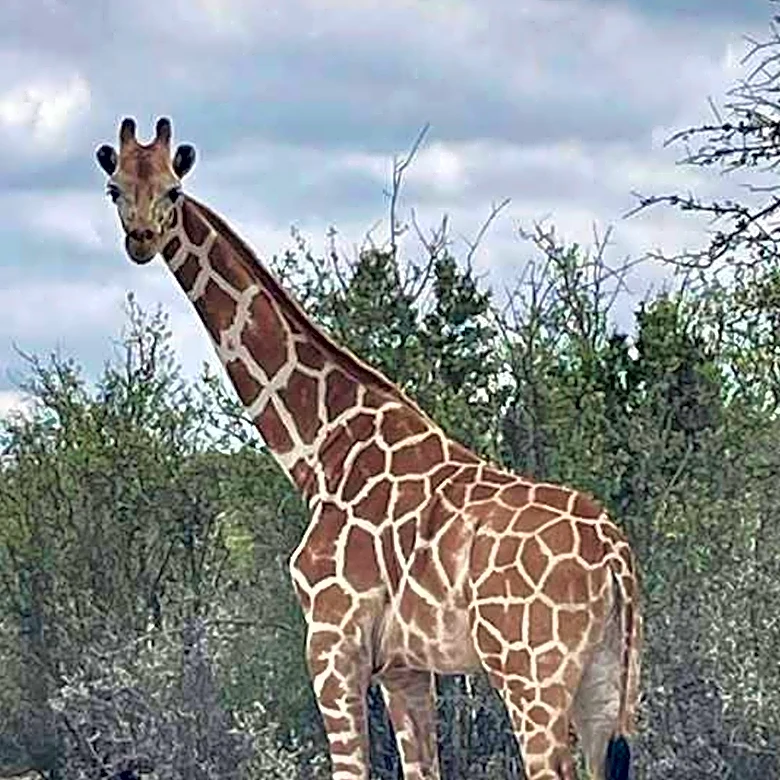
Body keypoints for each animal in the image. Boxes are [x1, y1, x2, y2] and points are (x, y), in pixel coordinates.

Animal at [95, 117, 641, 780]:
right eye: (115, 189)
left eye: (173, 190)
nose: (141, 239)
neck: (319, 448)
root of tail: (616, 557)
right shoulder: (405, 665)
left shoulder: (332, 638)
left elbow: (350, 768)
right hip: (607, 681)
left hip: (531, 671)